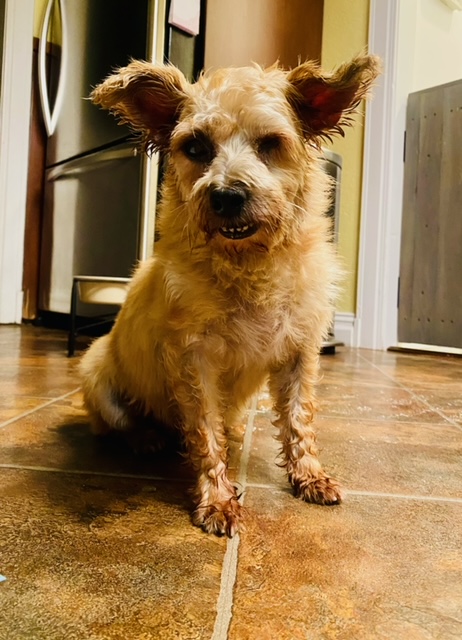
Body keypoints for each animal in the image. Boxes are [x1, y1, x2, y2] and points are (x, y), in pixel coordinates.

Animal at [79, 54, 379, 537]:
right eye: (196, 147)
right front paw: (217, 499)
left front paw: (309, 475)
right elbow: (205, 433)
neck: (248, 264)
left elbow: (299, 419)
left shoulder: (299, 354)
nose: (227, 197)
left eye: (271, 143)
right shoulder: (194, 362)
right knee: (121, 425)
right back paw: (146, 437)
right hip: (94, 372)